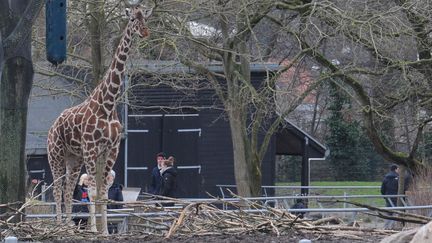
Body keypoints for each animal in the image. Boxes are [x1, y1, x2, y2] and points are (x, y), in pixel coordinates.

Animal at [46, 5, 152, 234]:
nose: (145, 32)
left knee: (68, 190)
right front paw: (94, 230)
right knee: (57, 189)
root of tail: (52, 126)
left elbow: (103, 192)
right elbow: (93, 192)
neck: (108, 104)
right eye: (132, 19)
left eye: (145, 18)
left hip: (74, 158)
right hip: (56, 154)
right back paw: (58, 225)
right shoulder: (91, 148)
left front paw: (104, 231)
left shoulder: (111, 149)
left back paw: (68, 226)